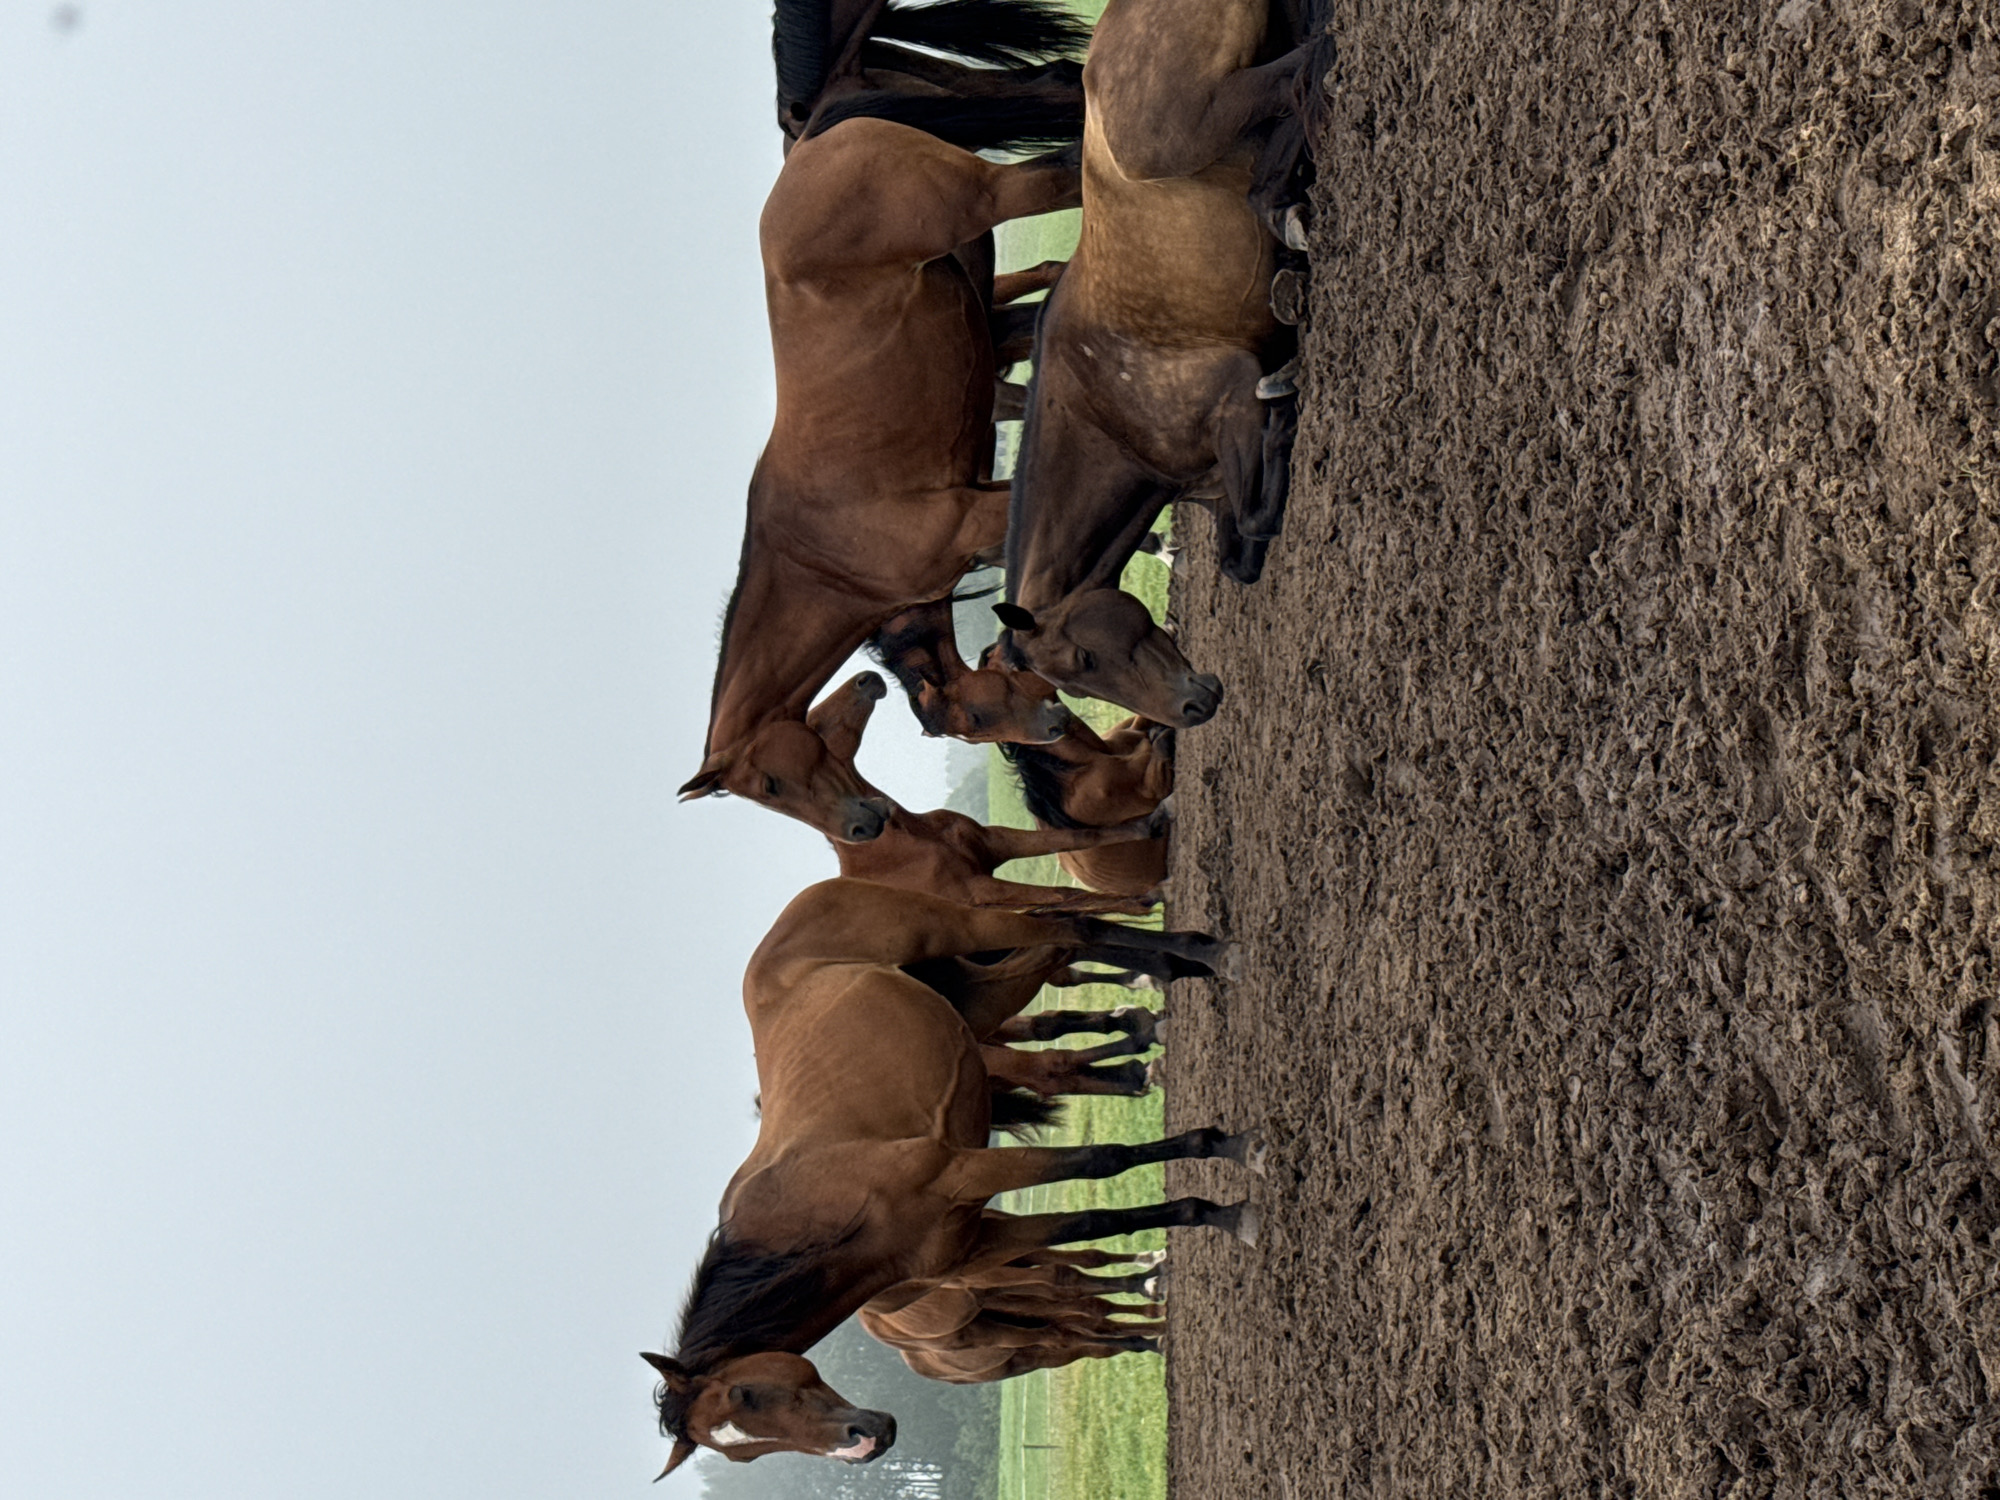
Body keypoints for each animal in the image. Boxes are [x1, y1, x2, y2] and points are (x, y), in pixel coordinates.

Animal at [640, 880, 1260, 1474]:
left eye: (746, 1393)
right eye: (743, 1452)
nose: (865, 1444)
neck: (826, 1213)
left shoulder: (961, 1171)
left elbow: (1102, 1162)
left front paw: (1228, 1171)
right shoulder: (981, 1240)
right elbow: (1087, 1221)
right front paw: (1206, 1206)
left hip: (957, 930)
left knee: (1071, 928)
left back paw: (1210, 956)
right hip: (980, 993)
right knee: (1060, 945)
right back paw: (1176, 978)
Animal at [678, 115, 1083, 839]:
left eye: (768, 785)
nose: (859, 828)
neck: (822, 556)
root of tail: (812, 146)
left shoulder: (978, 515)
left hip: (993, 197)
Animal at [994, 0, 1330, 720]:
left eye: (1082, 661)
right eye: (1078, 685)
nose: (1193, 711)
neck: (1104, 411)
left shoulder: (1232, 396)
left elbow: (1257, 519)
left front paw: (1286, 415)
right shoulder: (1211, 484)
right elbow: (1239, 554)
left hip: (1197, 123)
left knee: (1301, 74)